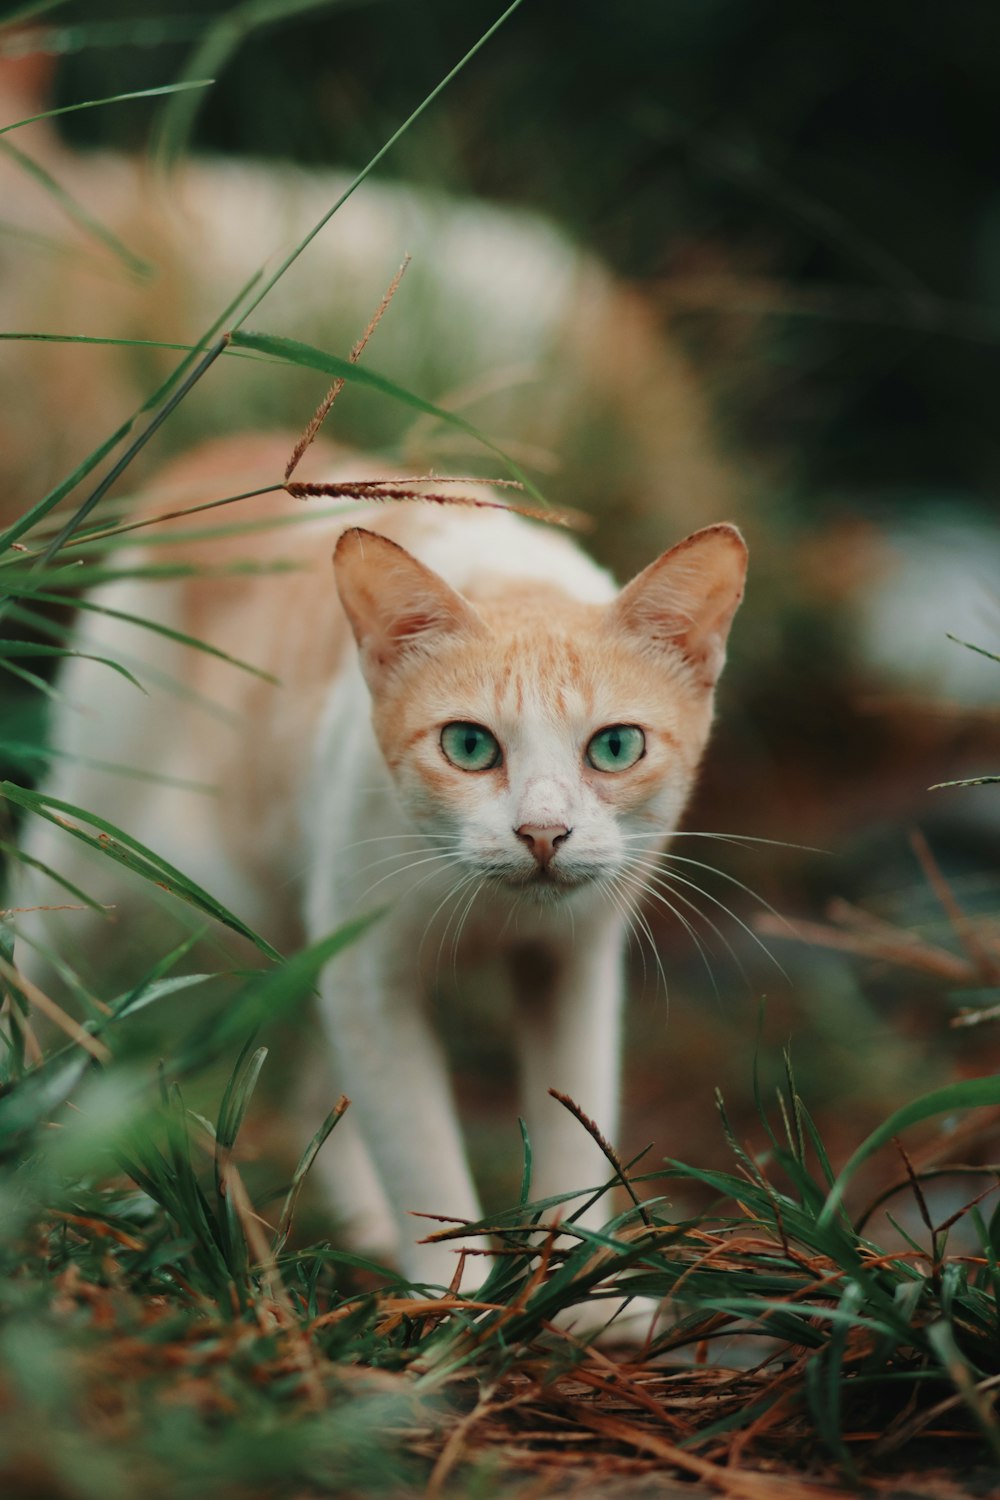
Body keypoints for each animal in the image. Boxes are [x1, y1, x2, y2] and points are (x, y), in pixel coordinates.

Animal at [15, 438, 746, 1290]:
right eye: (469, 746)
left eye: (617, 747)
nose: (542, 833)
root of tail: (220, 455)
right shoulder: (373, 977)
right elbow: (421, 1153)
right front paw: (455, 1299)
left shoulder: (572, 964)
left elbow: (577, 1129)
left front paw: (585, 1289)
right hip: (93, 844)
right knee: (30, 949)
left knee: (312, 1093)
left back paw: (362, 1228)